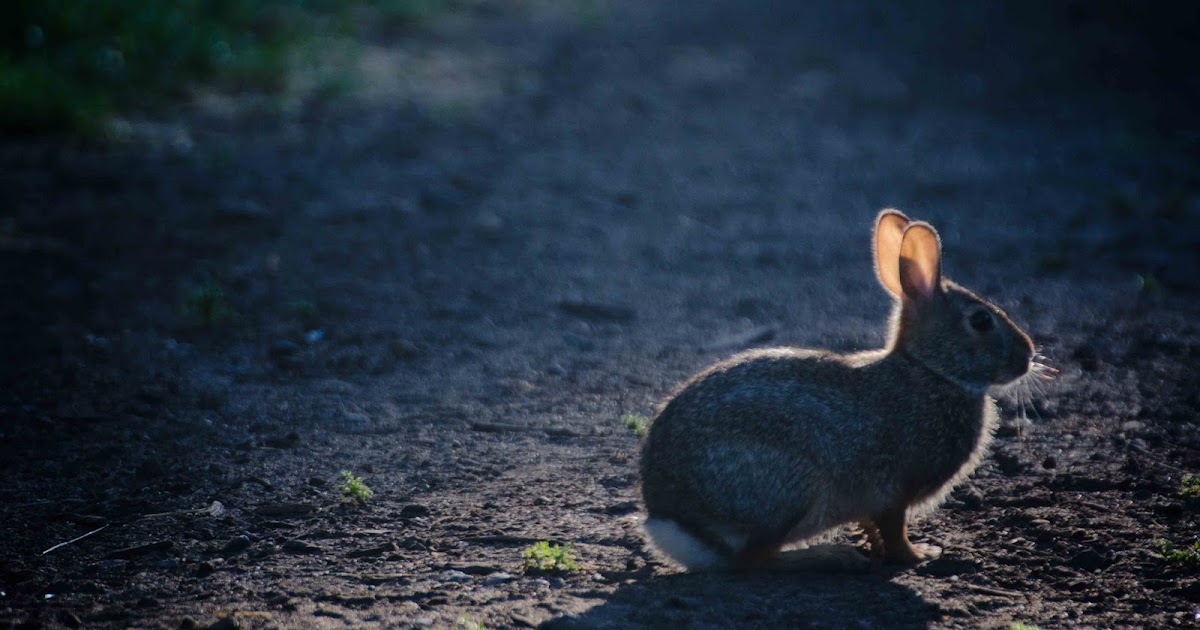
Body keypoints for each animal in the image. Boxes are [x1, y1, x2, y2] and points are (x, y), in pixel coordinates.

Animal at [639, 209, 1034, 570]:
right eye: (981, 321)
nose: (1028, 356)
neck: (930, 370)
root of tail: (672, 520)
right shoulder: (894, 489)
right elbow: (895, 528)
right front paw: (918, 555)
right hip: (793, 487)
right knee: (754, 559)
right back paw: (828, 555)